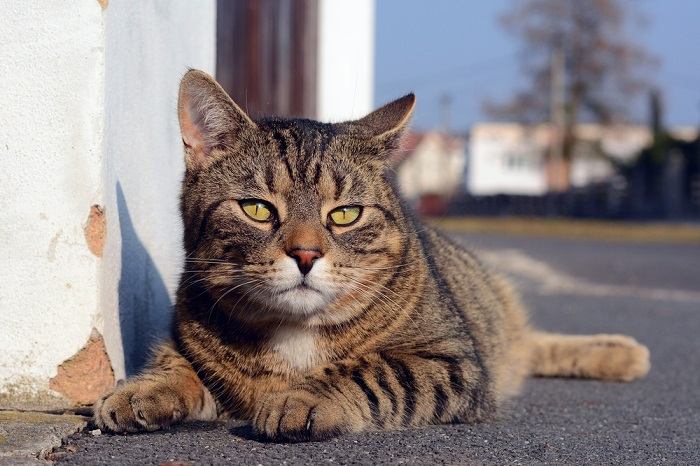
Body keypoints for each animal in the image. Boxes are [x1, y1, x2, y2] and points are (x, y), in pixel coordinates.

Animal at [94, 69, 652, 440]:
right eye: (256, 209)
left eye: (345, 214)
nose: (305, 254)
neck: (294, 333)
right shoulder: (184, 343)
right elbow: (175, 366)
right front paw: (141, 391)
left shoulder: (452, 361)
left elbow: (374, 371)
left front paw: (305, 397)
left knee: (531, 343)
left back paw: (622, 352)